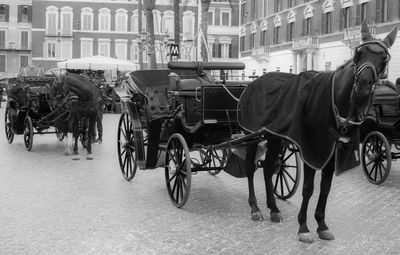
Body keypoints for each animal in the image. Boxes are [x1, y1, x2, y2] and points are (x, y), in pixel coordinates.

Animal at [238, 20, 396, 242]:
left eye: (384, 59)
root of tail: (253, 82)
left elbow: (325, 188)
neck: (333, 100)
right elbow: (308, 189)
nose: (363, 87)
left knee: (269, 168)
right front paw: (303, 226)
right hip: (249, 135)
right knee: (250, 169)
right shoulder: (310, 150)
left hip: (274, 137)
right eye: (359, 53)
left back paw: (273, 208)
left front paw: (321, 223)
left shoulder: (332, 152)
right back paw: (255, 208)